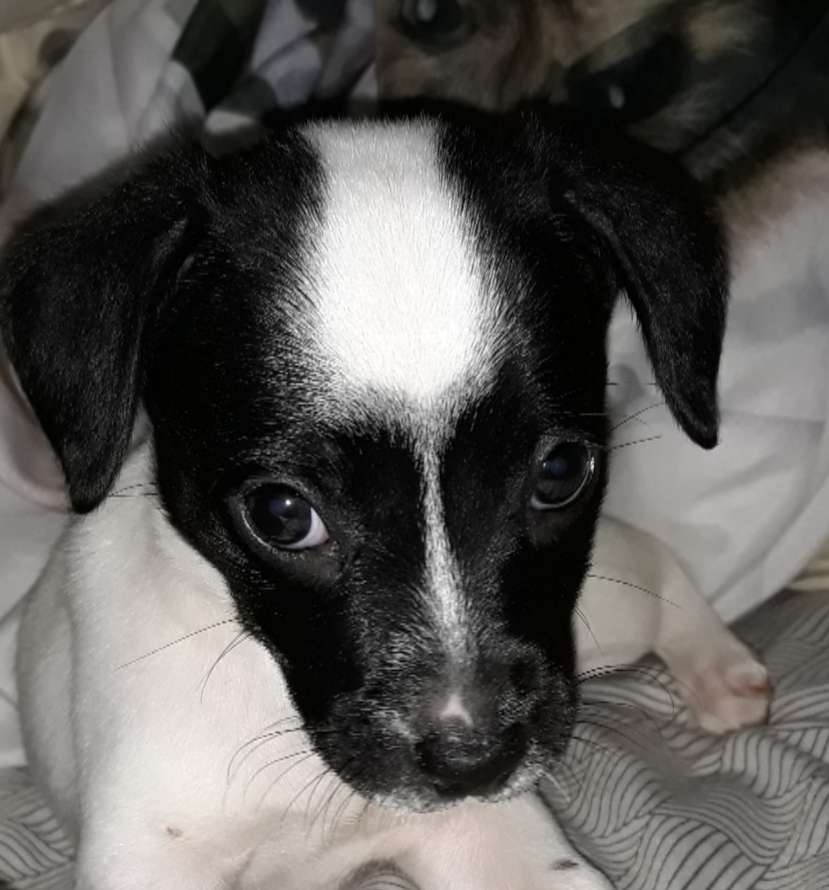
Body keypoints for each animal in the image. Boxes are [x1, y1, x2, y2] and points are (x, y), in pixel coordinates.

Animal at [0, 104, 770, 888]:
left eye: (559, 472)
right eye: (281, 515)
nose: (475, 762)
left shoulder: (485, 834)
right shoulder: (150, 853)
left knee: (647, 562)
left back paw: (716, 663)